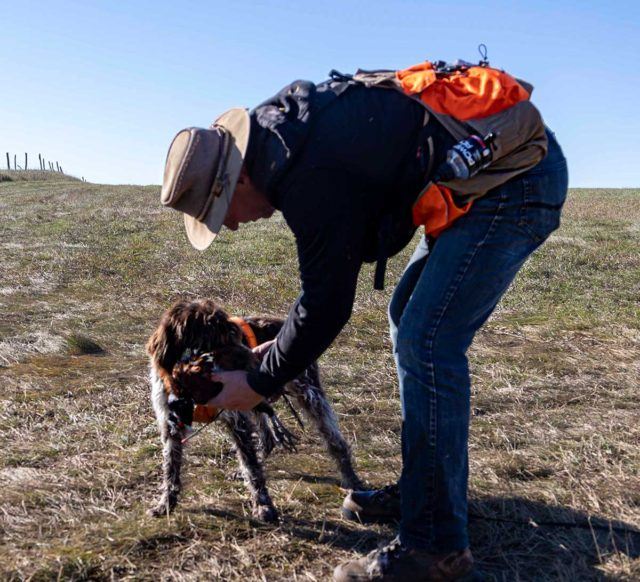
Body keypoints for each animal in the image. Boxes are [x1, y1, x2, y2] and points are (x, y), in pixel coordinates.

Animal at [147, 302, 362, 524]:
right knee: (268, 437)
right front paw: (166, 503)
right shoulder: (171, 422)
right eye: (218, 341)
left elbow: (251, 467)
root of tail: (283, 323)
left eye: (234, 336)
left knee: (335, 442)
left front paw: (263, 505)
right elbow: (171, 466)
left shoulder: (237, 420)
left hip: (308, 395)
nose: (255, 359)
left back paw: (351, 480)